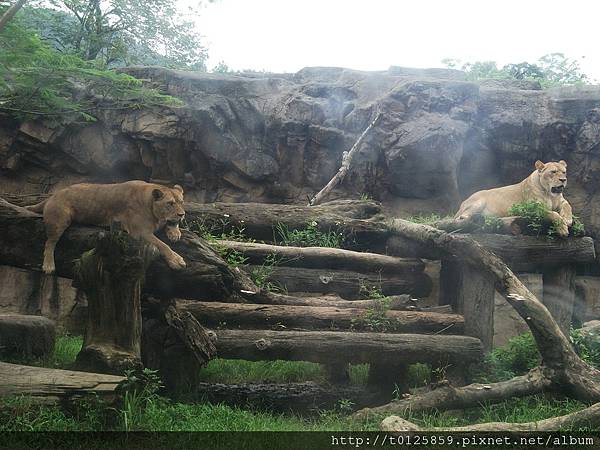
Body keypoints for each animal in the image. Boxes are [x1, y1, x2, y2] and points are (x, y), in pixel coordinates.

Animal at [25, 180, 186, 274]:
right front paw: (177, 260)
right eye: (170, 203)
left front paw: (174, 232)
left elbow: (170, 226)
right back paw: (48, 266)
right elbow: (162, 245)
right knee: (49, 243)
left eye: (181, 202)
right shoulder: (139, 231)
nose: (182, 214)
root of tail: (53, 195)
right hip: (59, 220)